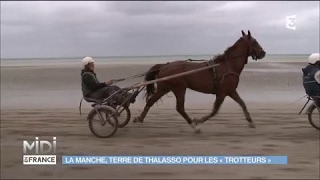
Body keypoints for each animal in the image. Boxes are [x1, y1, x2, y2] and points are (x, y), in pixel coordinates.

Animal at [133, 30, 268, 133]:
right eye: (254, 41)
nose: (263, 53)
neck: (227, 66)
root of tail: (164, 65)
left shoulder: (231, 91)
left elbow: (242, 104)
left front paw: (251, 122)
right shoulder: (222, 93)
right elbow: (214, 111)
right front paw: (198, 121)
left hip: (165, 88)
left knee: (151, 101)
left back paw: (140, 119)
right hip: (179, 88)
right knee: (179, 108)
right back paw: (194, 126)